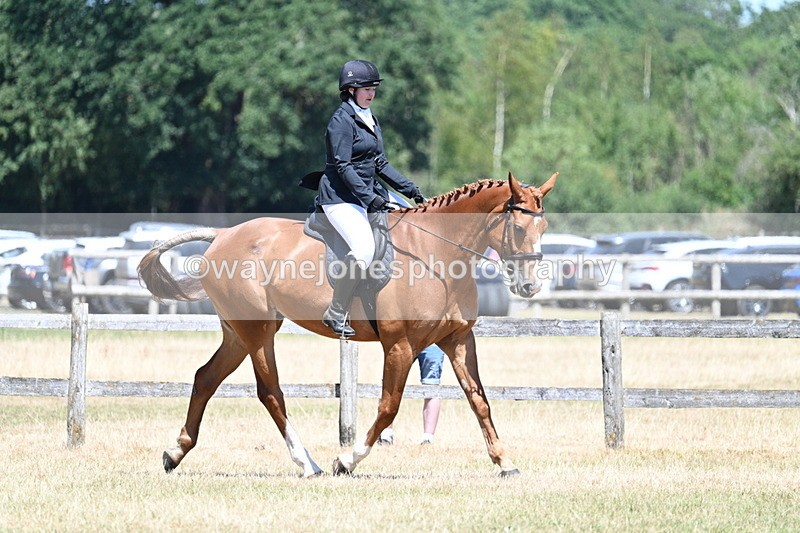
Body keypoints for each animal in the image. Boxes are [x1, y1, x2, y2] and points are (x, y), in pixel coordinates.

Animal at [138, 171, 557, 477]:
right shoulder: (400, 345)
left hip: (240, 332)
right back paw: (308, 463)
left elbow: (479, 400)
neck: (437, 253)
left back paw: (175, 453)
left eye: (544, 228)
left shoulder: (458, 340)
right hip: (257, 332)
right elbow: (389, 407)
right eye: (519, 229)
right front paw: (347, 460)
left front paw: (505, 461)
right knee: (270, 392)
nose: (530, 286)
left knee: (205, 377)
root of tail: (223, 235)